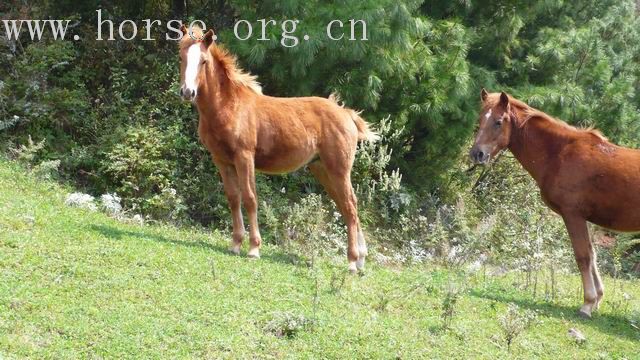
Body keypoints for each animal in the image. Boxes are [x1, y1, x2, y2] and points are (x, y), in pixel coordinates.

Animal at [178, 26, 378, 272]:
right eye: (182, 58)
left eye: (204, 61)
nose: (188, 92)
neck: (228, 106)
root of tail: (346, 114)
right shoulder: (221, 160)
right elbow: (233, 198)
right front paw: (235, 244)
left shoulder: (244, 156)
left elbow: (250, 197)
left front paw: (254, 248)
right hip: (322, 169)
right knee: (348, 206)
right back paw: (360, 259)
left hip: (339, 169)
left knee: (349, 207)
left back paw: (351, 262)